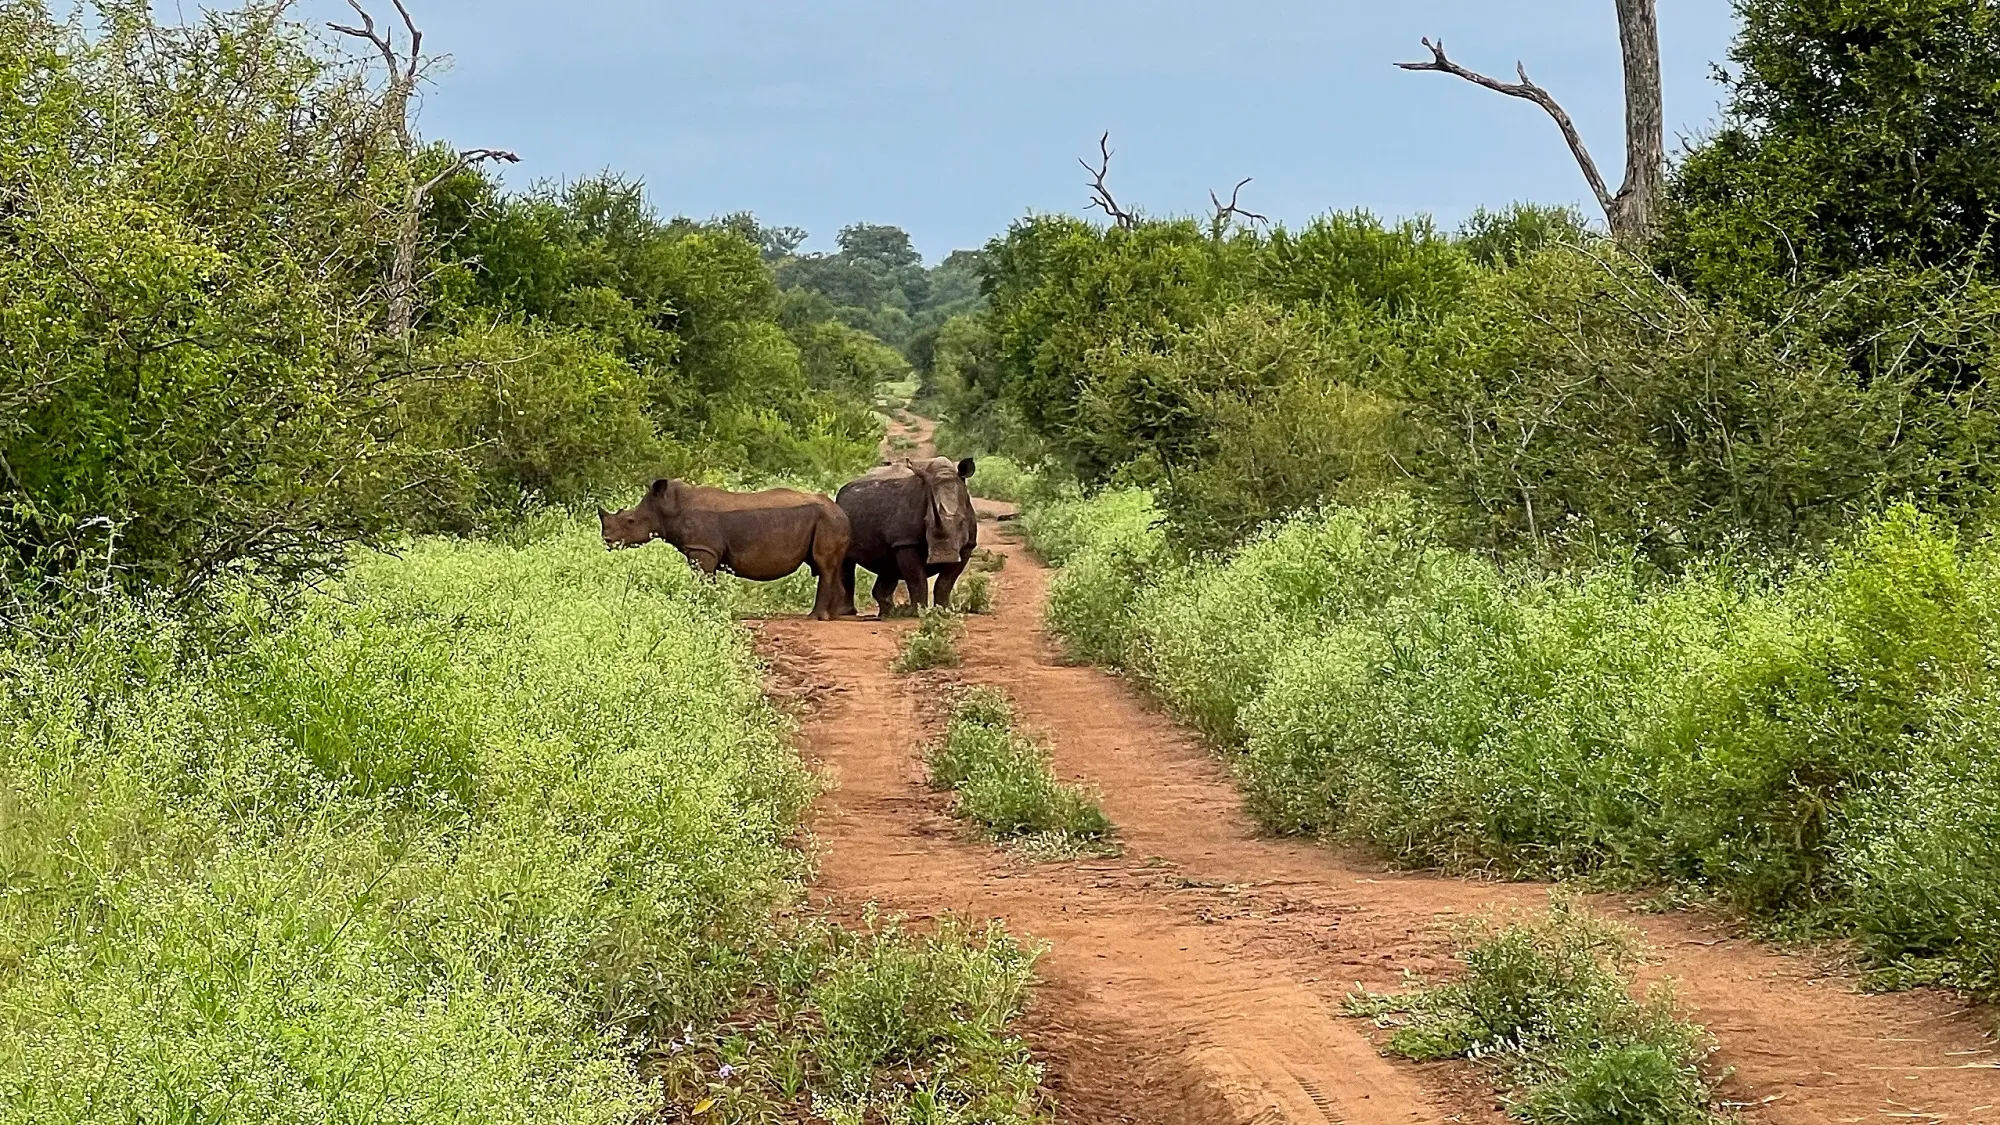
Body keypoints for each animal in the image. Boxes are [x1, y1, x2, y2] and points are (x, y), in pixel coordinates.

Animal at [836, 456, 976, 612]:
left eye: (962, 521)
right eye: (926, 522)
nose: (943, 557)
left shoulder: (967, 546)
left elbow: (946, 582)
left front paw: (944, 610)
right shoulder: (906, 542)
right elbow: (917, 579)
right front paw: (918, 611)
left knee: (888, 566)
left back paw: (888, 613)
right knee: (847, 561)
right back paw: (848, 613)